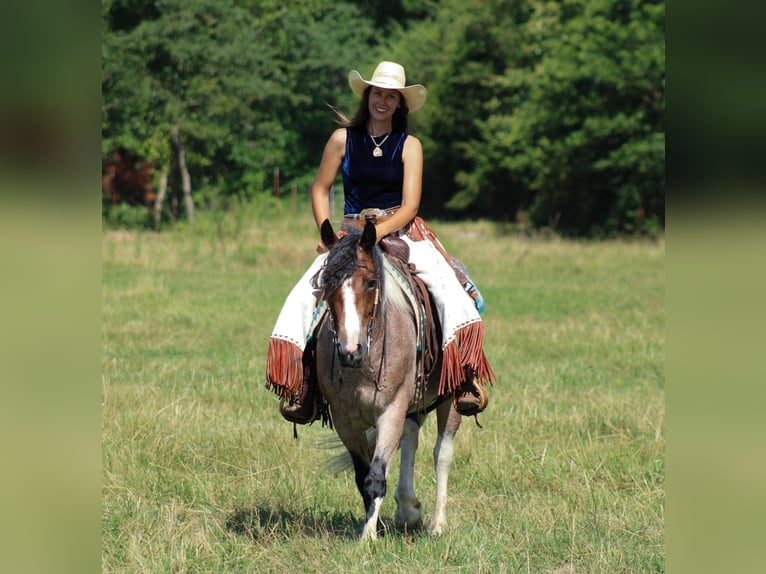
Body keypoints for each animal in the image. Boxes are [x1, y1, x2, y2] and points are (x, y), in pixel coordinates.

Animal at [314, 218, 462, 540]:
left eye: (371, 282)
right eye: (326, 283)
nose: (350, 351)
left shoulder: (391, 410)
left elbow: (376, 476)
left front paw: (367, 537)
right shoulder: (345, 421)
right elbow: (363, 477)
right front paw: (375, 525)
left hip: (453, 398)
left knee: (442, 454)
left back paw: (437, 524)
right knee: (410, 440)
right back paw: (408, 511)